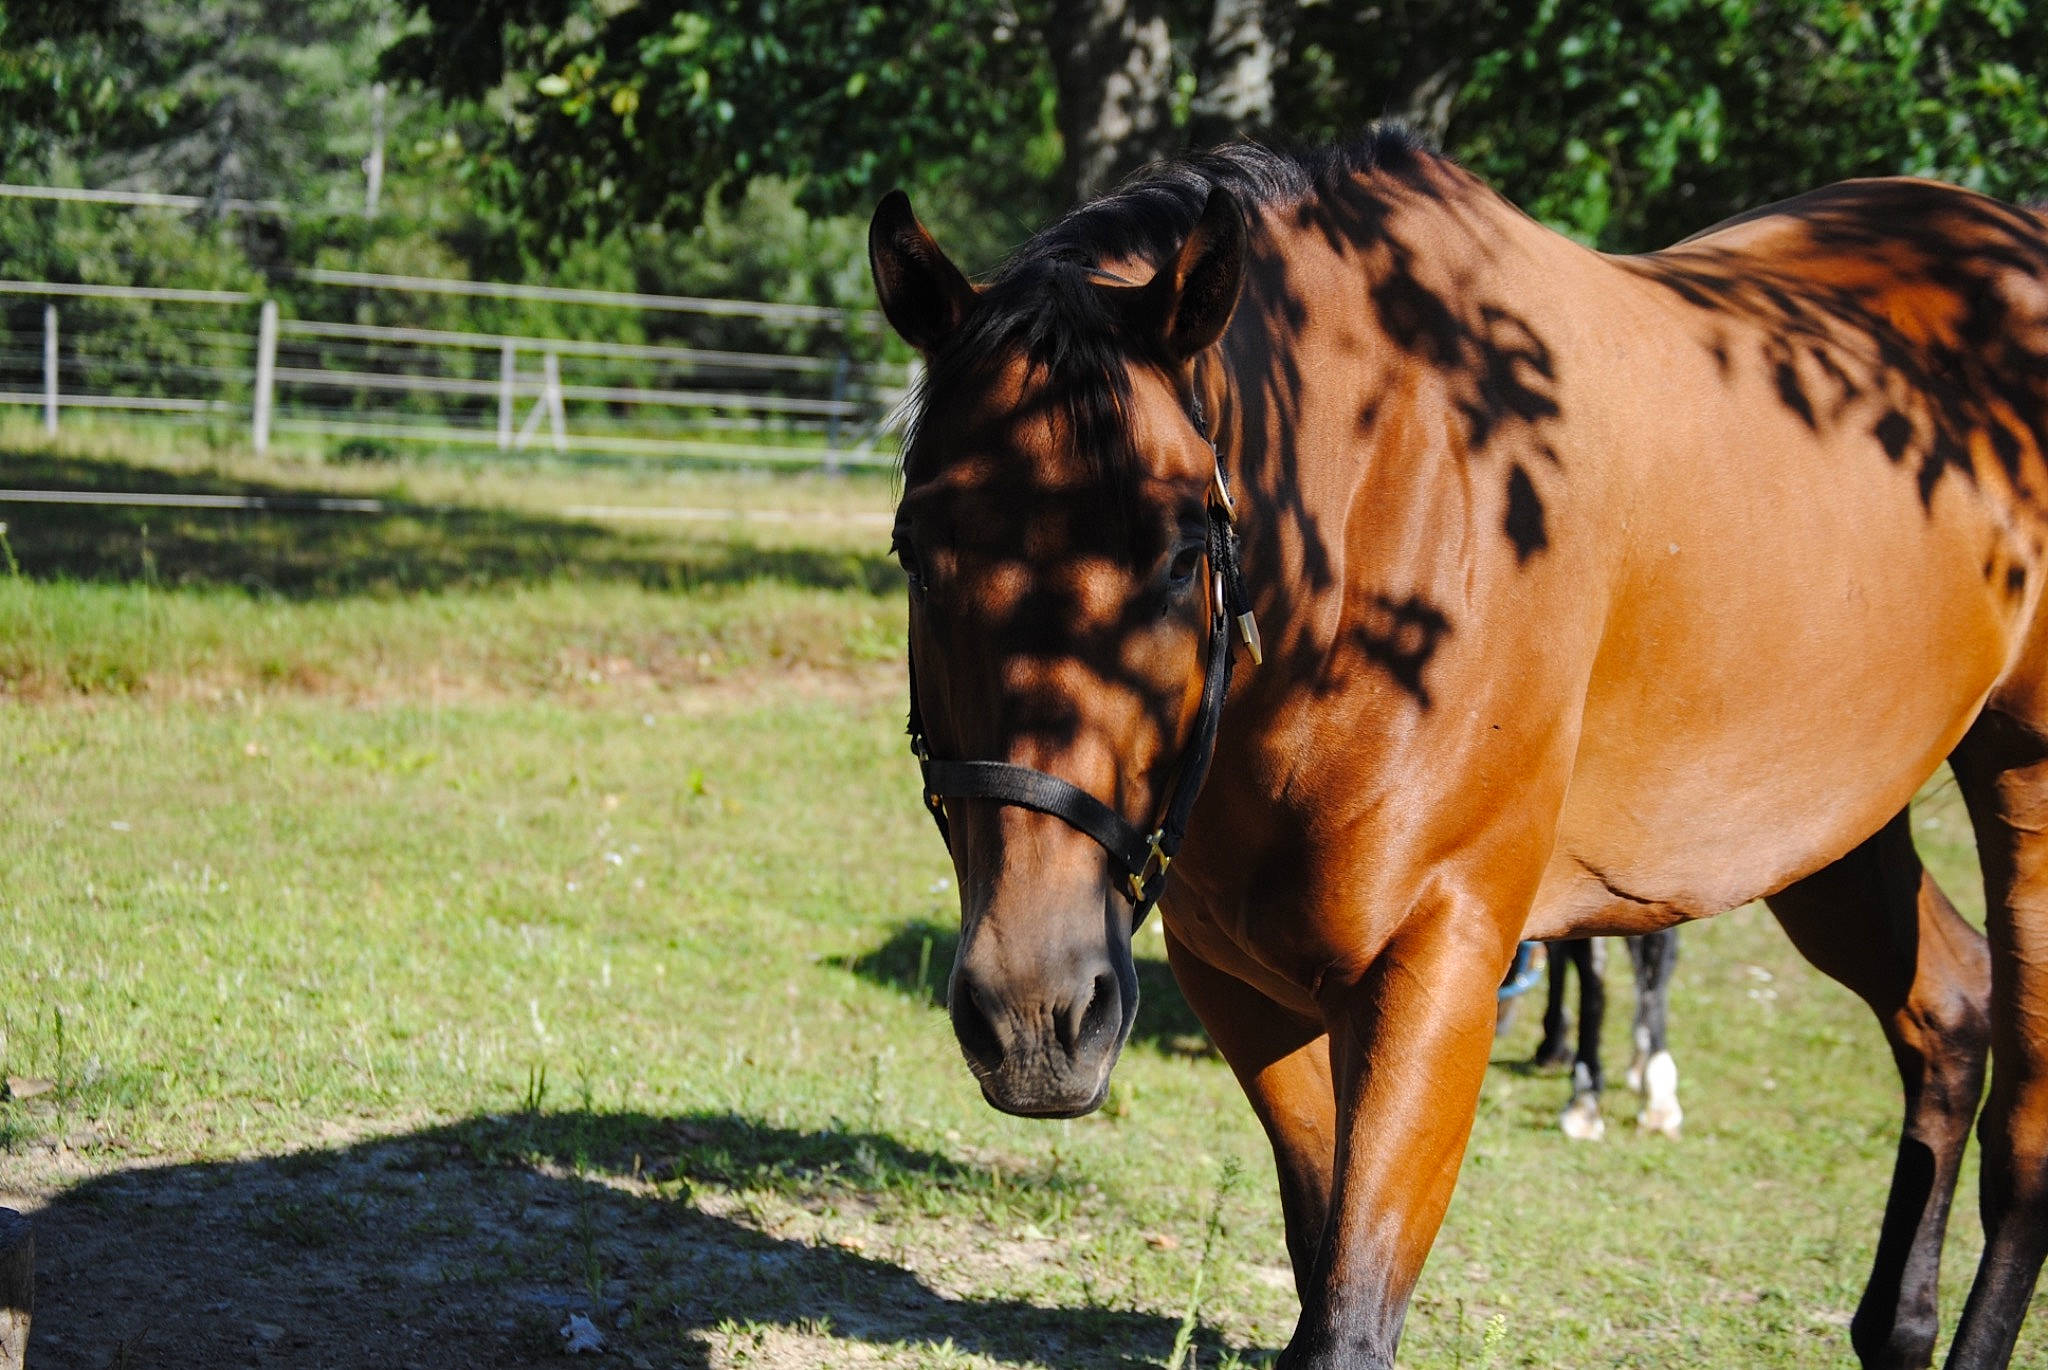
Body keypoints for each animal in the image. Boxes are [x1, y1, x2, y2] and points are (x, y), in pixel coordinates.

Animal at [868, 127, 2048, 1369]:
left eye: (1181, 549)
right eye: (918, 549)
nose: (1035, 1015)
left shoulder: (1438, 970)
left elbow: (1344, 1318)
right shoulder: (1244, 983)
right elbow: (1318, 1255)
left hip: (2019, 787)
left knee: (2021, 1138)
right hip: (1823, 829)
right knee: (1948, 1009)